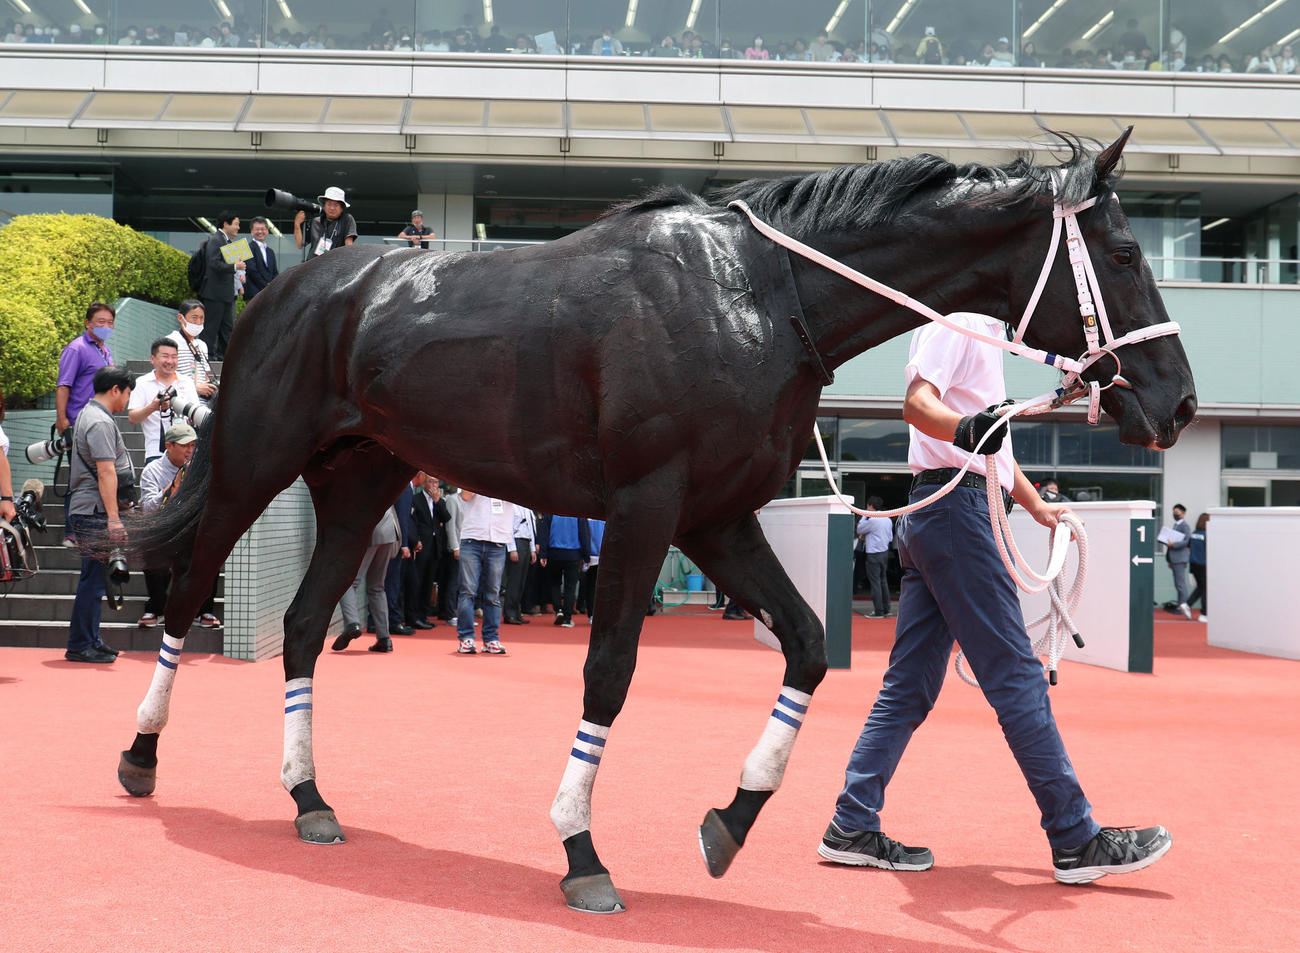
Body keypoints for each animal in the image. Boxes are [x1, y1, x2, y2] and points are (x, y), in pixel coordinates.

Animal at [115, 130, 1196, 914]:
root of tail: (293, 286)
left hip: (359, 479)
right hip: (253, 461)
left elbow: (808, 646)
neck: (758, 296)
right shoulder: (646, 504)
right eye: (1125, 250)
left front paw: (731, 820)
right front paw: (581, 848)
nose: (1178, 403)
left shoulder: (716, 515)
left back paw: (309, 798)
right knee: (189, 585)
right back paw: (141, 757)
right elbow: (610, 668)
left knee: (302, 625)